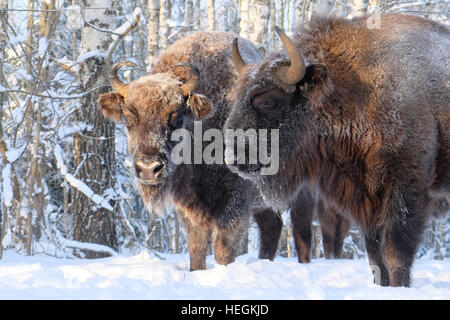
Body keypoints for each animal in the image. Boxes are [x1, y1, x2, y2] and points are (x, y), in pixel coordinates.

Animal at [227, 13, 448, 288]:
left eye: (268, 101)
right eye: (236, 98)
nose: (233, 156)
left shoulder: (406, 192)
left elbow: (395, 253)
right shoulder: (367, 201)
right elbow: (375, 255)